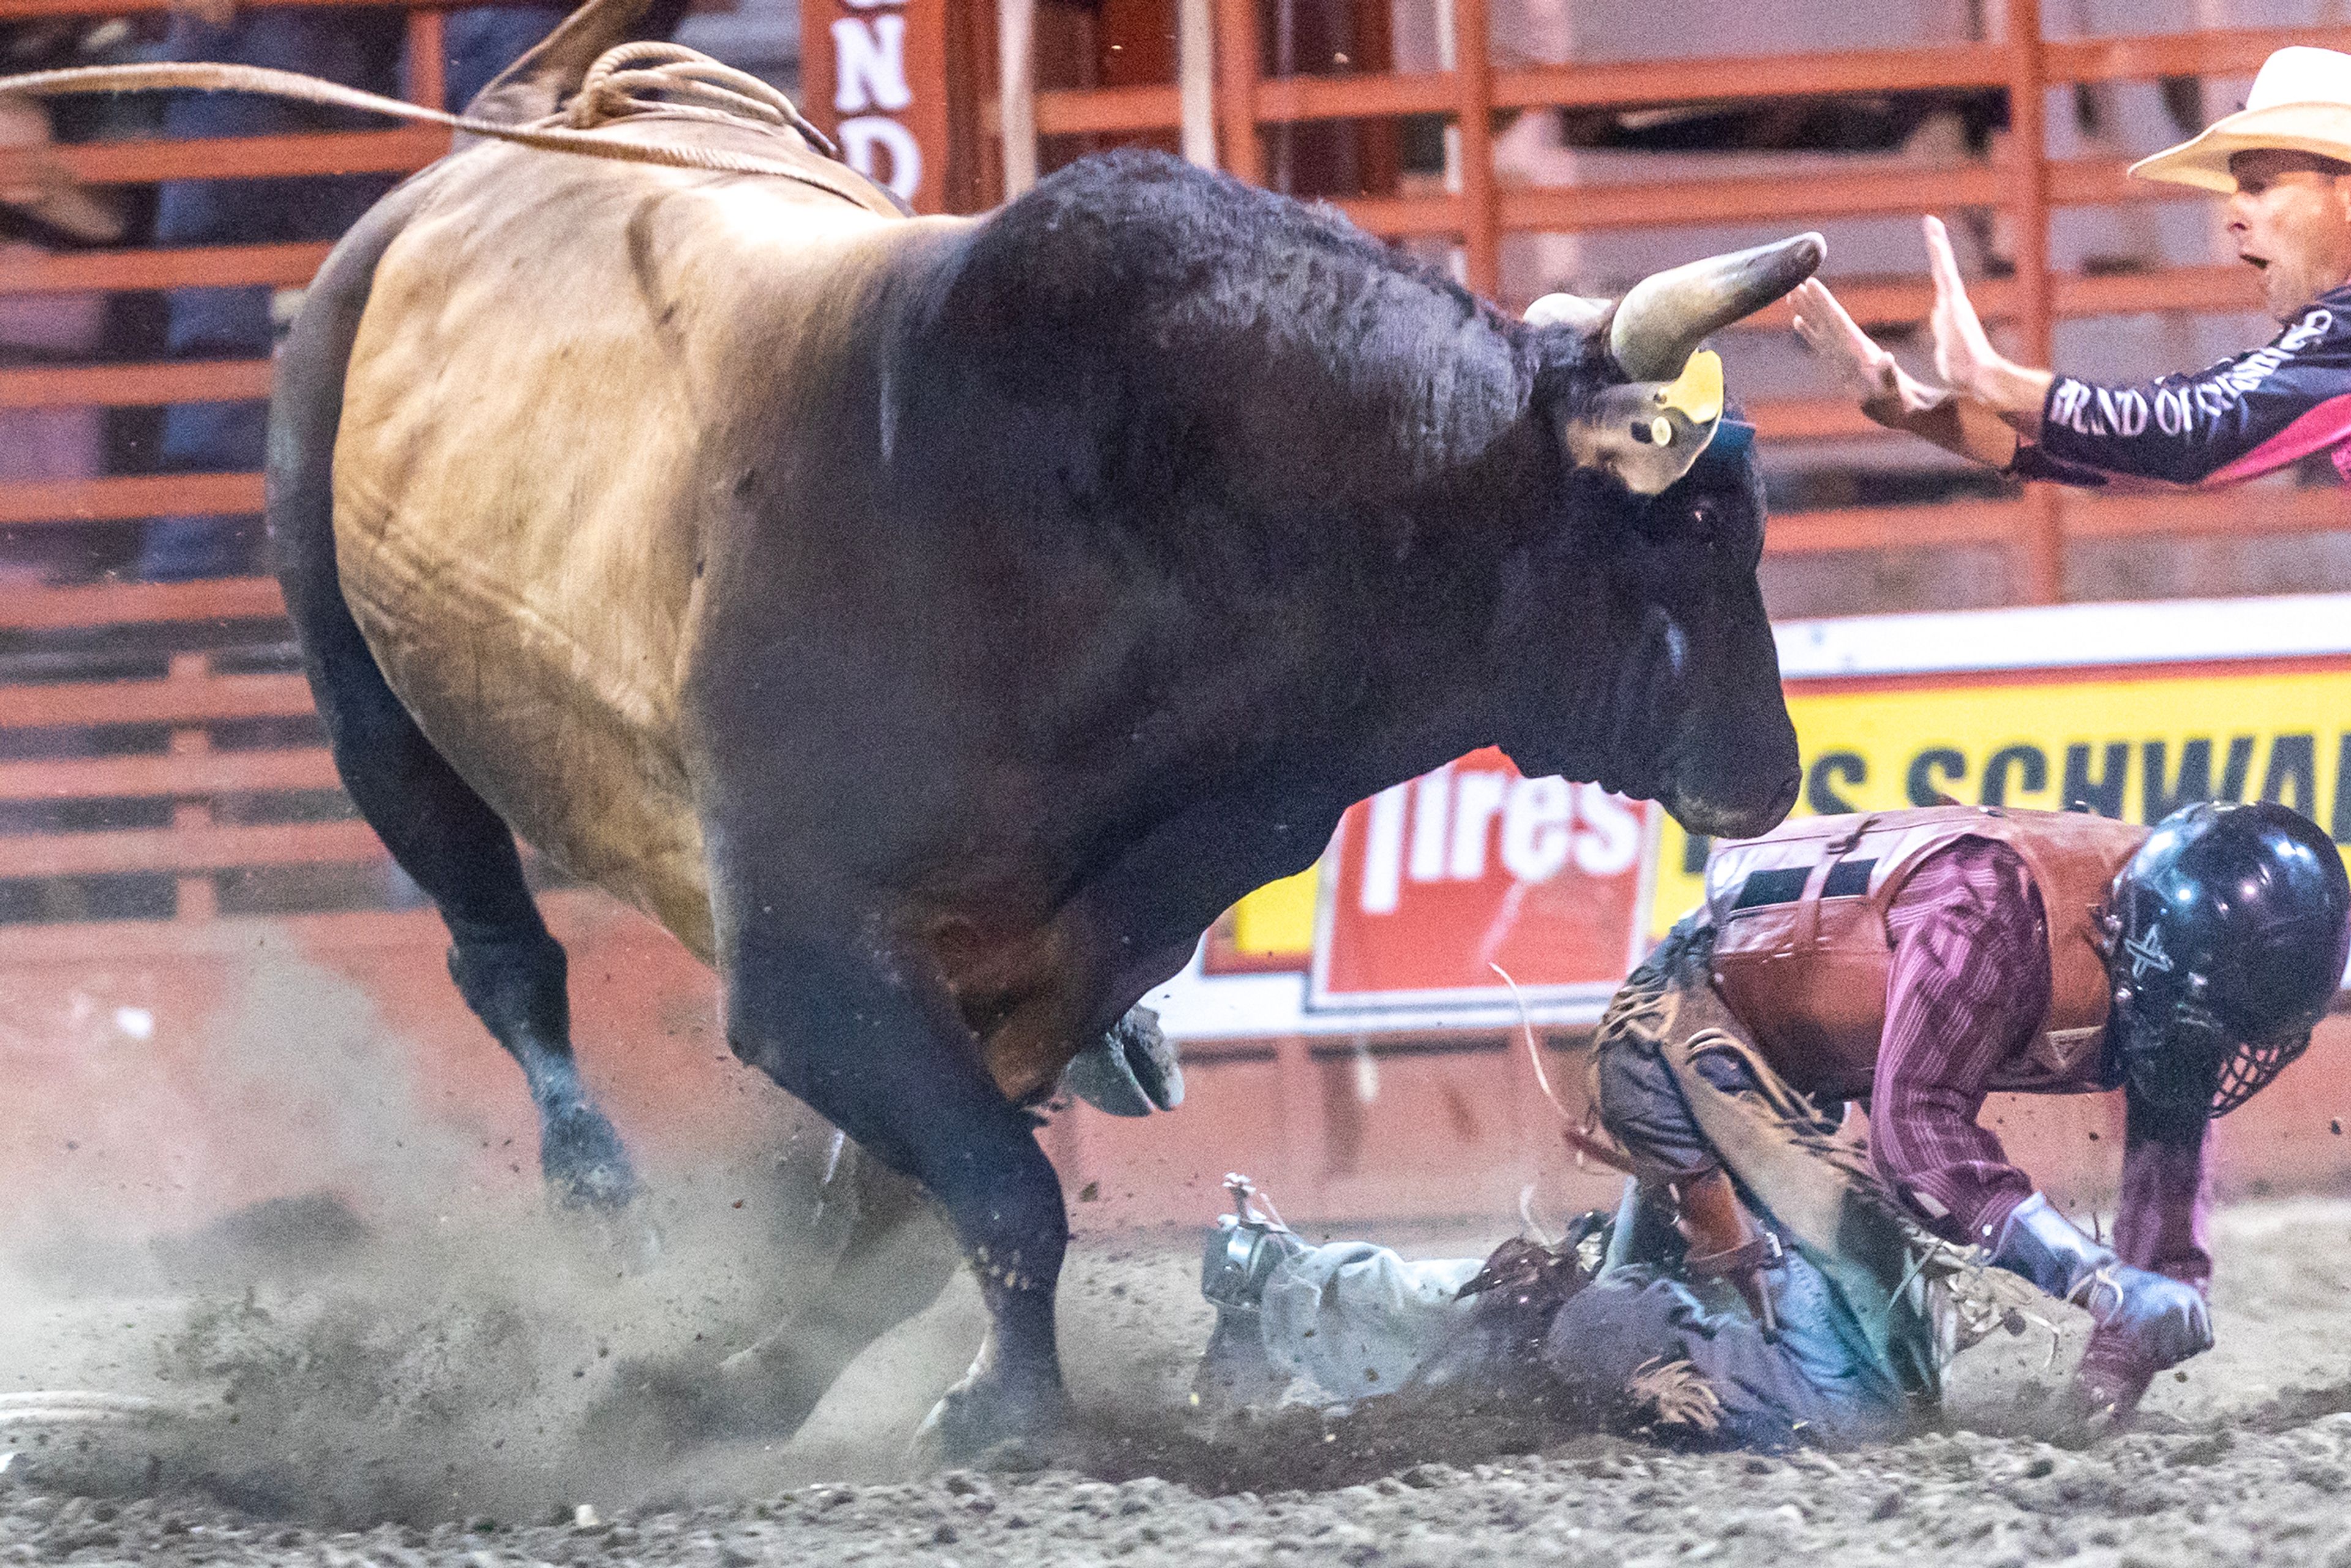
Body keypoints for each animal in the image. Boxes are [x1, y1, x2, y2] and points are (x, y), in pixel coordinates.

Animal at [257, 0, 1805, 1466]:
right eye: (1692, 517)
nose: (1771, 772)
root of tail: (522, 122)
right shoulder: (806, 957)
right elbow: (1001, 1185)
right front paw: (995, 1407)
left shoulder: (1083, 949)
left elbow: (905, 1211)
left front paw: (728, 1383)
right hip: (359, 685)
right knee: (500, 950)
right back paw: (598, 1195)